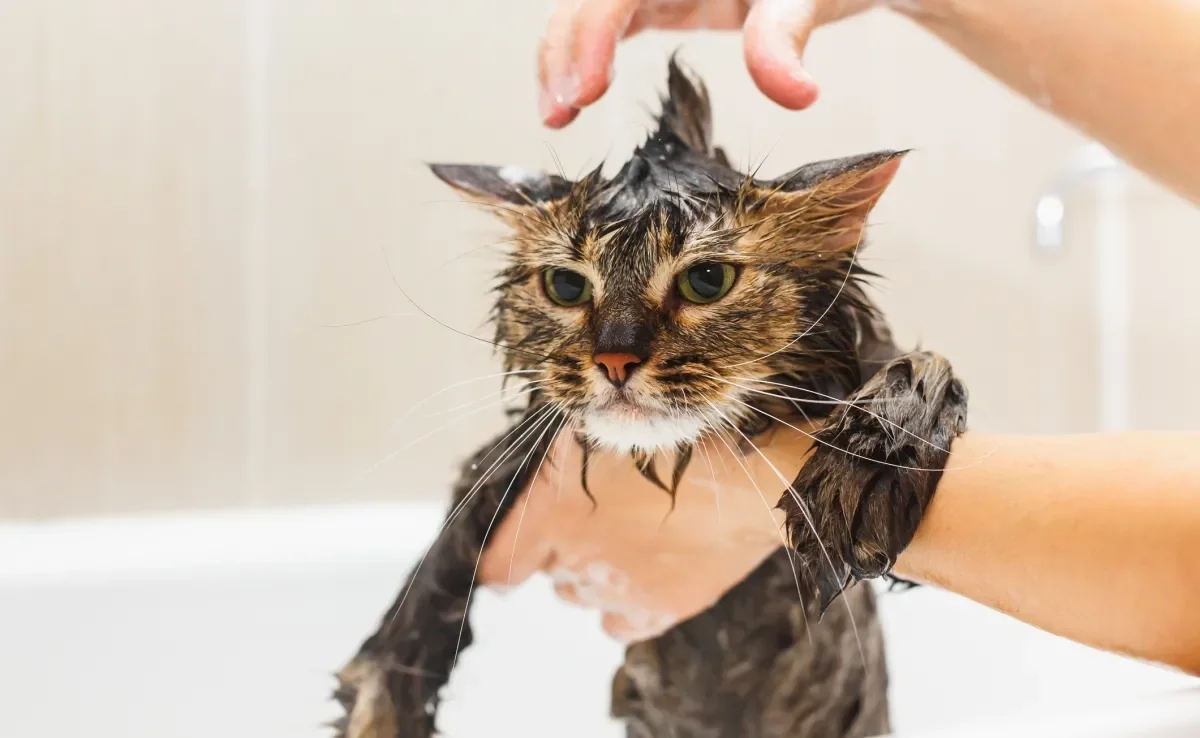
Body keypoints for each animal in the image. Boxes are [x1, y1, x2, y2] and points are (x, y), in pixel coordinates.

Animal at [331, 59, 964, 738]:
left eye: (707, 280)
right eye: (566, 286)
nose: (614, 359)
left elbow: (931, 364)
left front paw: (870, 461)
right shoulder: (505, 459)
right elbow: (405, 626)